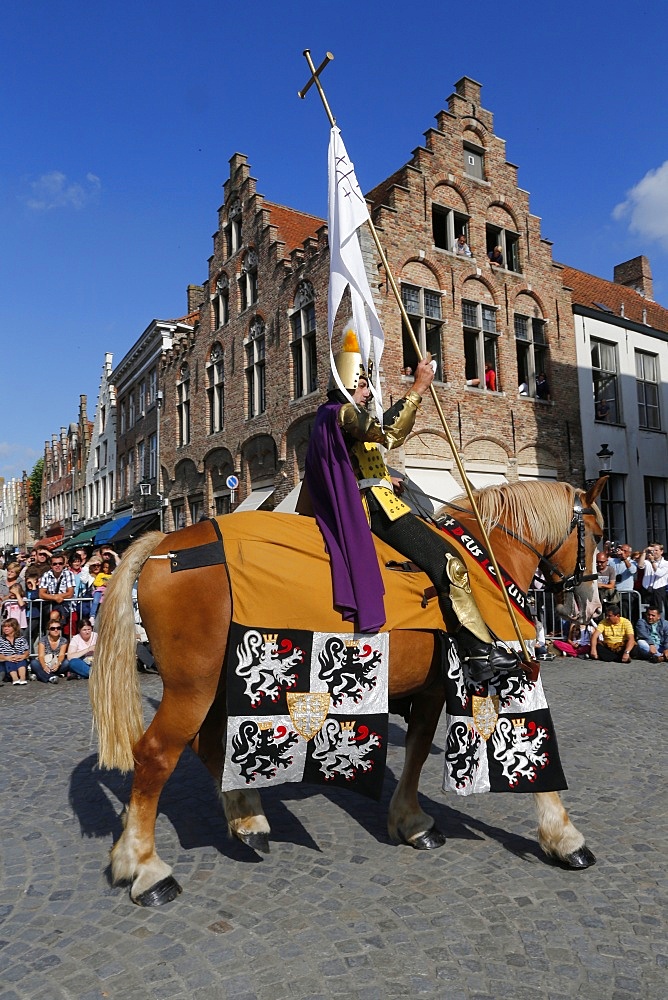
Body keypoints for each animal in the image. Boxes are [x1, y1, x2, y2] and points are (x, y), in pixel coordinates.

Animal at [90, 478, 604, 908]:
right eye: (597, 535)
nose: (592, 607)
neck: (487, 561)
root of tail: (164, 547)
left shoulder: (433, 688)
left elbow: (418, 747)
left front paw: (411, 822)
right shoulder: (502, 674)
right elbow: (532, 753)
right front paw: (565, 838)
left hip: (215, 686)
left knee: (207, 745)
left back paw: (248, 821)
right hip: (192, 686)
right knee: (156, 755)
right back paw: (146, 869)